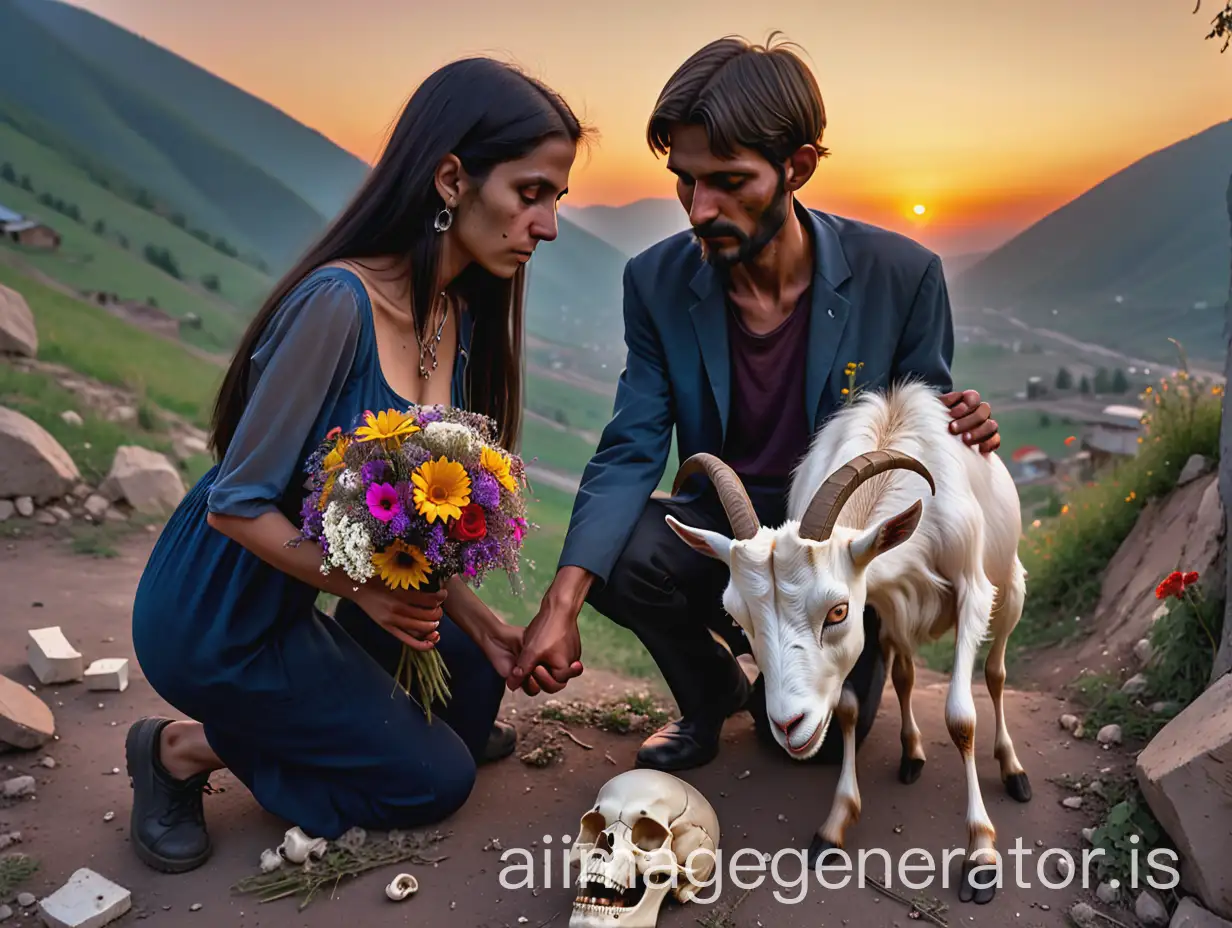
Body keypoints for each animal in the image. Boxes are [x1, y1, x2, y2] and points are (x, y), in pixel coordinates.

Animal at [665, 379, 1029, 902]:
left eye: (836, 611)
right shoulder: (873, 606)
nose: (788, 725)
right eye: (736, 619)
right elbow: (849, 709)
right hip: (898, 623)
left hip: (1010, 590)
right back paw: (912, 754)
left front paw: (981, 854)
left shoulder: (970, 591)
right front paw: (834, 825)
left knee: (996, 673)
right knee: (905, 675)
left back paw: (1012, 769)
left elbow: (961, 716)